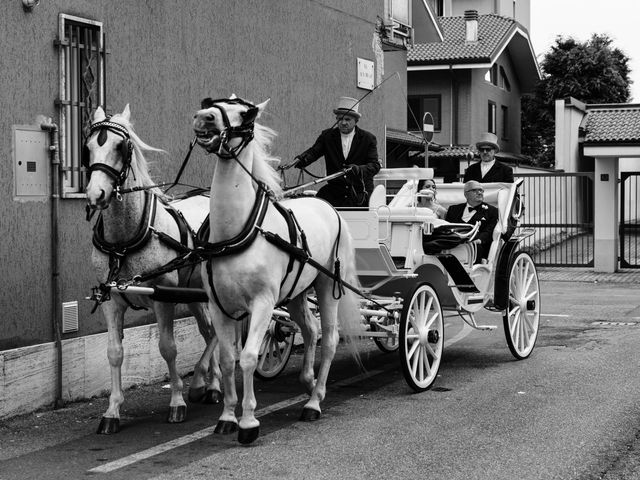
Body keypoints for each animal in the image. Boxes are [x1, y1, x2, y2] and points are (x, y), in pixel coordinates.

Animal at [85, 106, 221, 436]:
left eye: (120, 146)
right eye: (88, 147)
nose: (96, 194)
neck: (123, 241)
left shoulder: (162, 298)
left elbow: (167, 347)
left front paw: (177, 402)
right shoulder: (111, 300)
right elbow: (114, 352)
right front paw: (112, 410)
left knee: (219, 331)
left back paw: (204, 383)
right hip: (195, 293)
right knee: (209, 330)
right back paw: (211, 385)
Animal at [192, 95, 362, 444]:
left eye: (245, 114)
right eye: (211, 103)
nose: (204, 118)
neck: (236, 232)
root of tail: (329, 207)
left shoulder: (263, 303)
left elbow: (247, 357)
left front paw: (248, 422)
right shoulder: (218, 305)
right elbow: (227, 360)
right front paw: (227, 416)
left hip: (327, 286)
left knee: (330, 338)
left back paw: (314, 401)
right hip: (297, 292)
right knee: (310, 330)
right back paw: (309, 382)